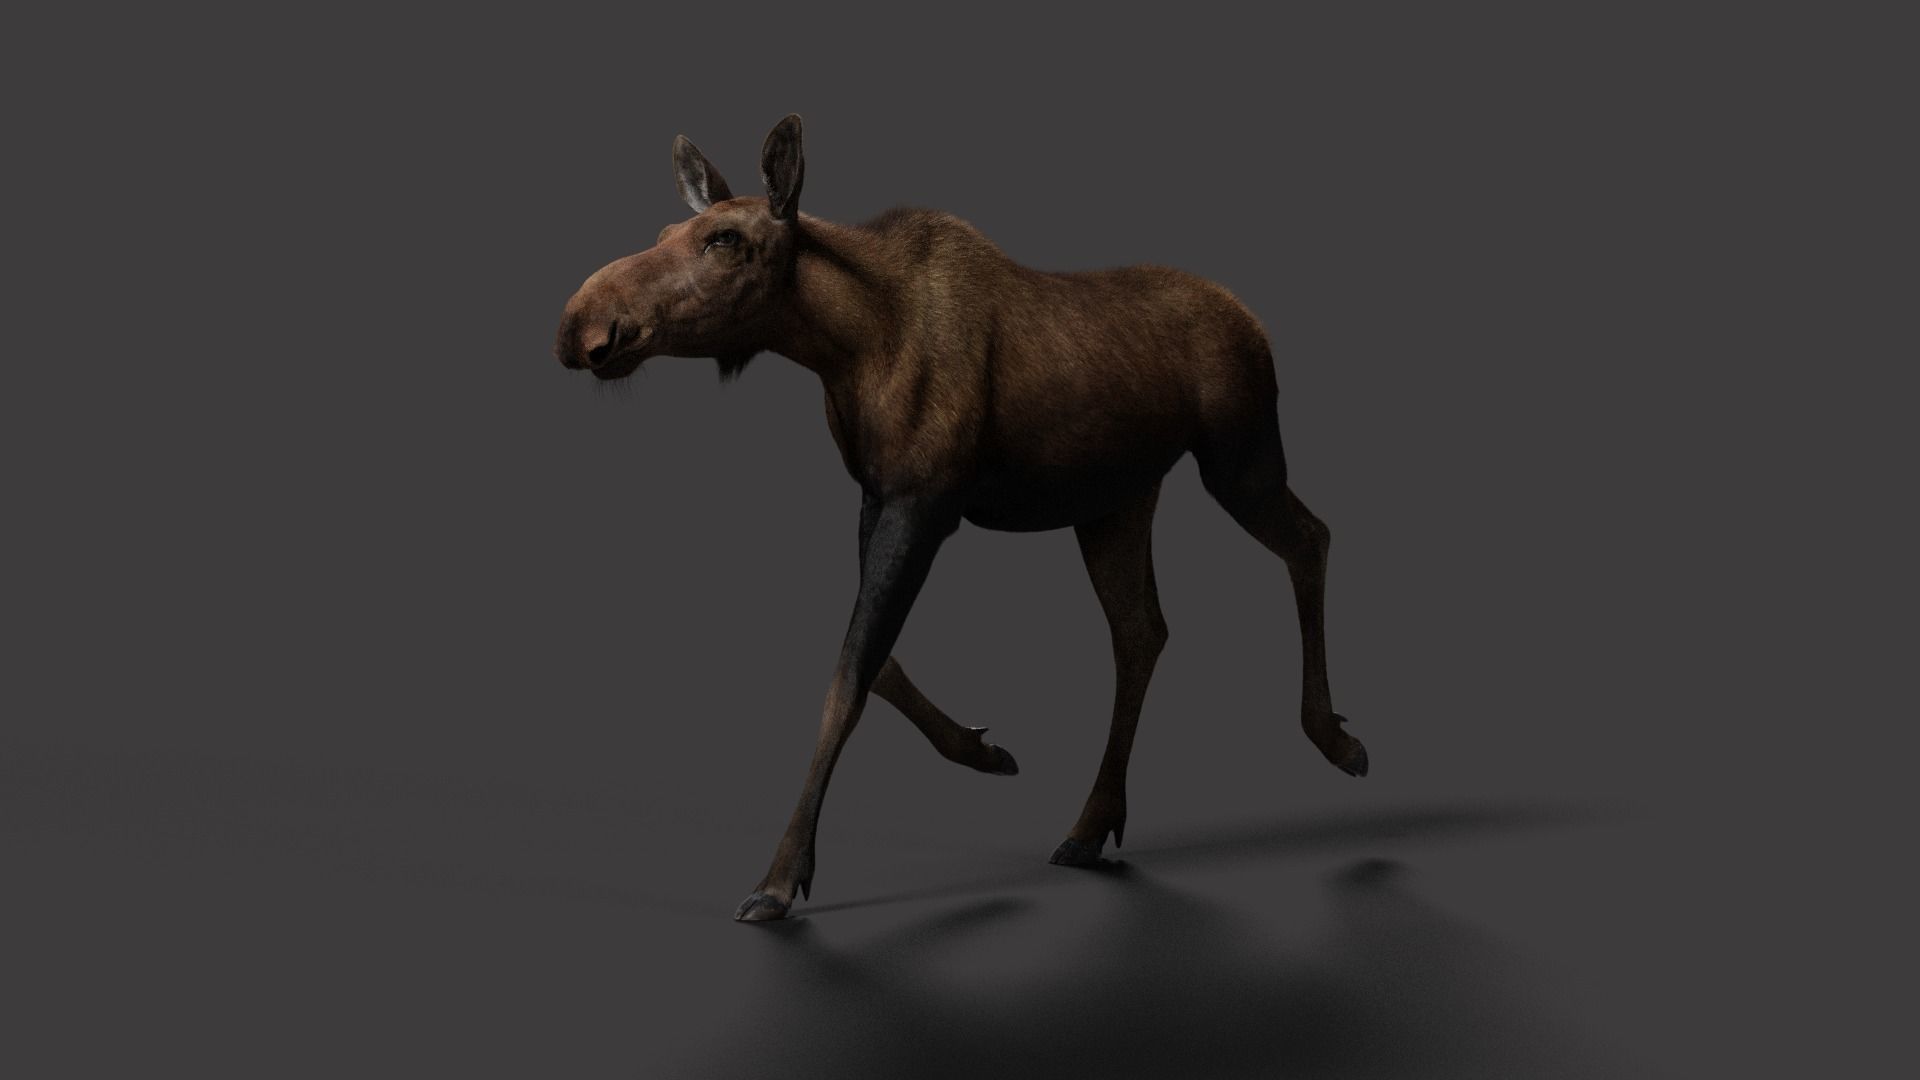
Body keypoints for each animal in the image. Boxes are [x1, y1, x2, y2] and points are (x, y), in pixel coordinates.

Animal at [553, 115, 1367, 922]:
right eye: (666, 229)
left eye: (724, 239)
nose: (580, 324)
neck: (844, 347)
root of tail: (1252, 321)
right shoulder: (876, 498)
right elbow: (873, 661)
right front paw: (981, 750)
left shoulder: (924, 505)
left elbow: (849, 676)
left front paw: (780, 880)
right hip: (1116, 501)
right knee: (1143, 631)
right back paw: (1091, 824)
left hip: (1239, 461)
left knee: (1311, 539)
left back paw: (1337, 741)